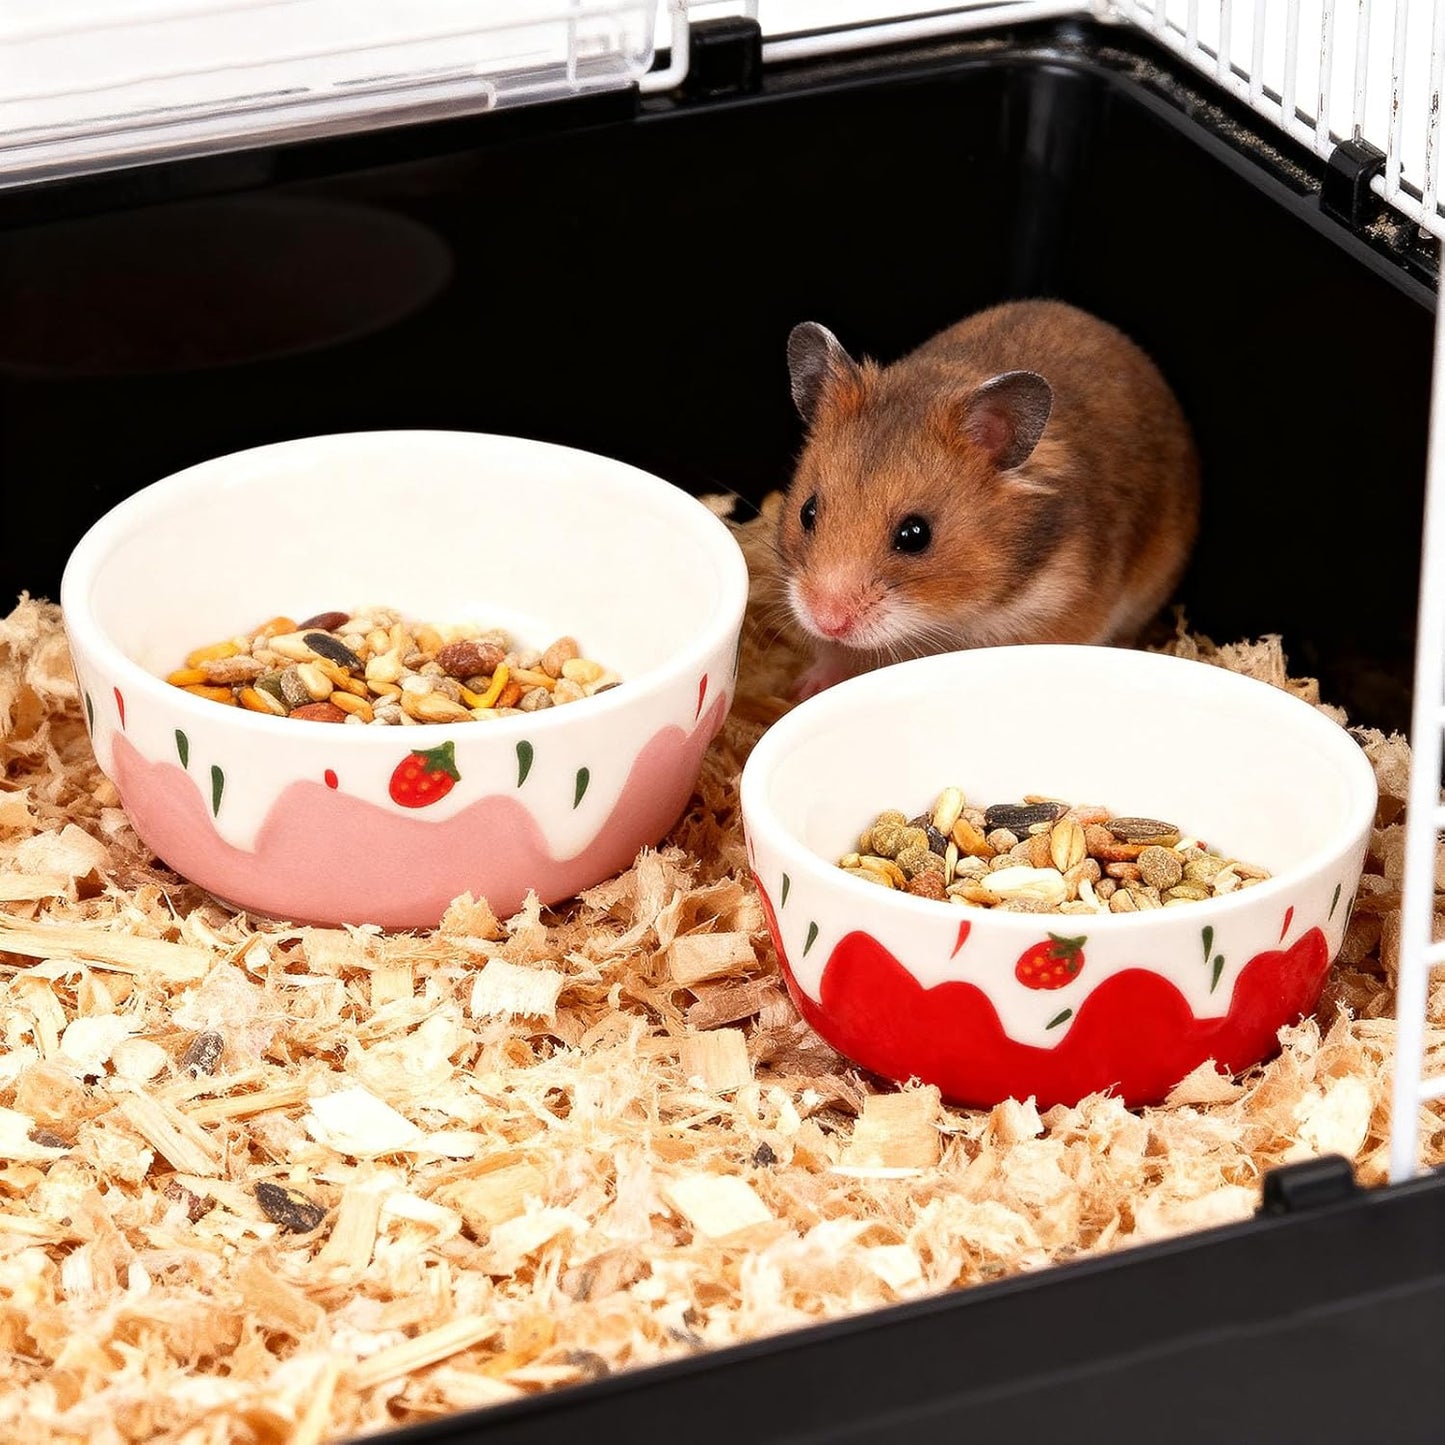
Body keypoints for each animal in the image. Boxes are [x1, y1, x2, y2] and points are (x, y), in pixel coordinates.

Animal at [776, 299, 1200, 698]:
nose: (827, 620)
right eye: (807, 512)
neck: (948, 616)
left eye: (915, 535)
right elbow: (834, 656)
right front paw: (802, 691)